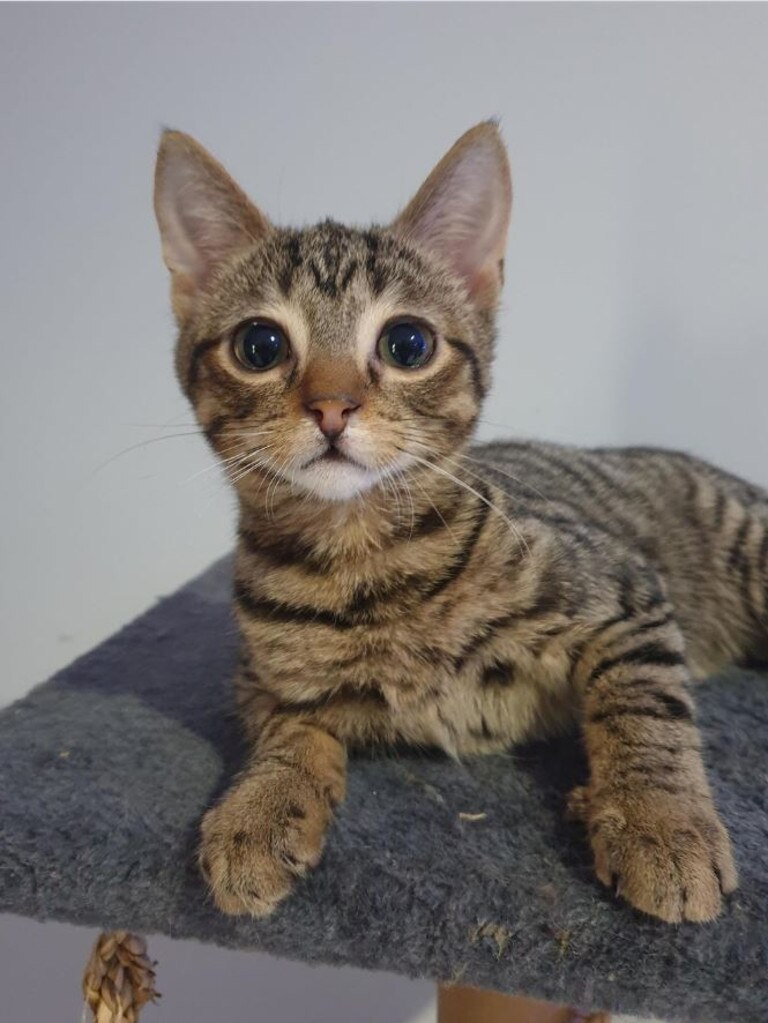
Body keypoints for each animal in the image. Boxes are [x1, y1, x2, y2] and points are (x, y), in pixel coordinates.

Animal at [154, 121, 764, 928]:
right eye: (261, 346)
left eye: (407, 344)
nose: (331, 407)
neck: (360, 561)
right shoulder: (261, 678)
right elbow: (289, 727)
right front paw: (263, 804)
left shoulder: (626, 593)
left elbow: (644, 708)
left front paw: (660, 819)